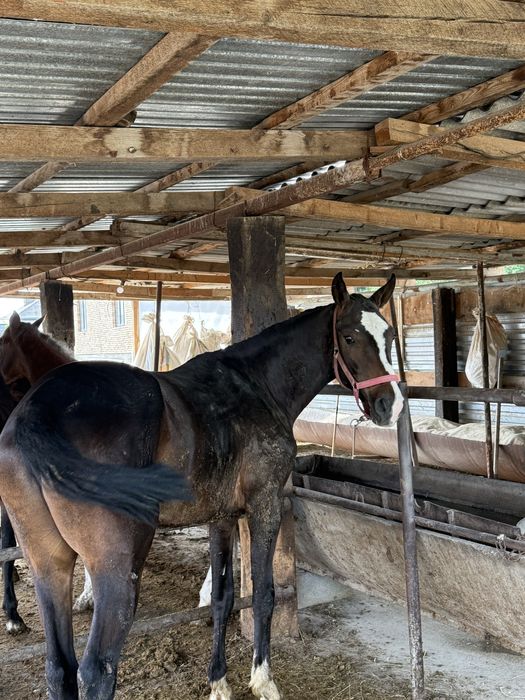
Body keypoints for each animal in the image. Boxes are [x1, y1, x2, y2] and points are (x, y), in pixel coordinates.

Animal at [0, 273, 403, 700]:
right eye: (349, 336)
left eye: (389, 334)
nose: (389, 405)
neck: (257, 387)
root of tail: (35, 414)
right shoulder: (265, 506)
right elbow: (263, 593)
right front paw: (263, 680)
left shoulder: (221, 517)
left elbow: (222, 599)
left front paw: (219, 682)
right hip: (116, 570)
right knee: (97, 670)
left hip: (48, 563)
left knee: (59, 667)